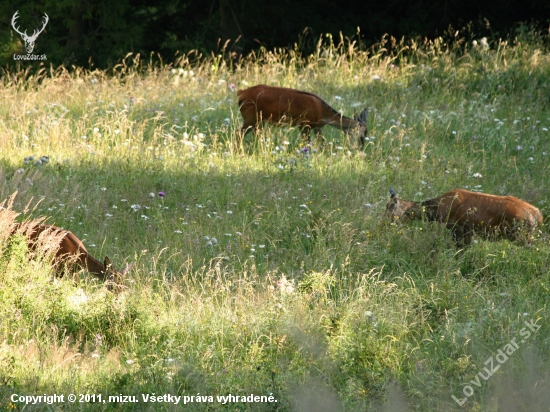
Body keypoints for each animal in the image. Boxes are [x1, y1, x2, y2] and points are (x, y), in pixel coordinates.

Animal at [236, 83, 368, 146]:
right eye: (363, 134)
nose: (361, 147)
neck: (323, 113)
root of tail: (241, 93)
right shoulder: (304, 124)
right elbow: (307, 143)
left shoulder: (317, 127)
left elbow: (322, 143)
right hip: (251, 116)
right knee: (238, 133)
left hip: (259, 120)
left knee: (254, 135)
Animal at [386, 187, 544, 248]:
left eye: (390, 207)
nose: (386, 223)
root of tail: (538, 215)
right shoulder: (468, 231)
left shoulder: (459, 227)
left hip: (520, 235)